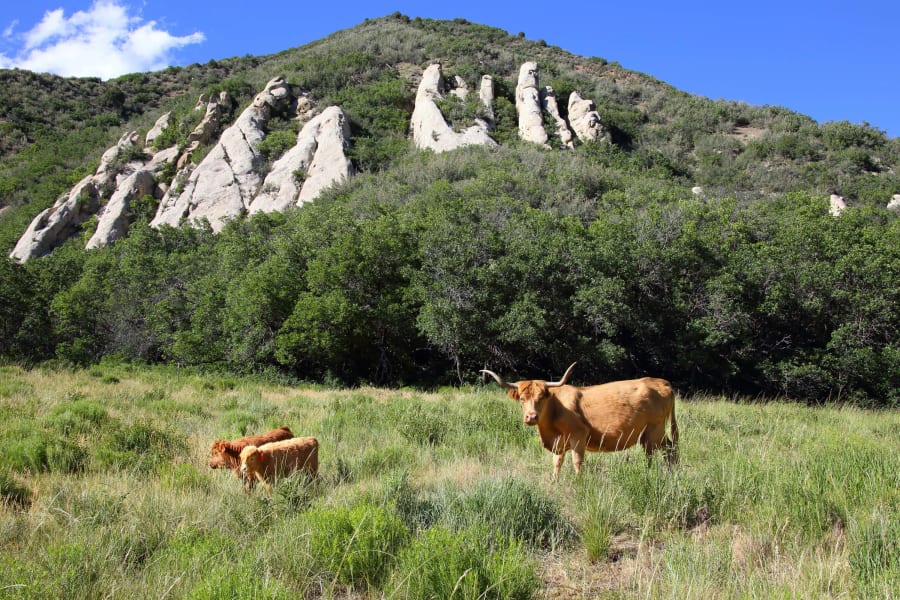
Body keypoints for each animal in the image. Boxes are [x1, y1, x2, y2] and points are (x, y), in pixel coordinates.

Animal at [482, 360, 680, 478]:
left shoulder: (578, 436)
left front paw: (579, 482)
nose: (531, 417)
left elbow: (577, 461)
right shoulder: (559, 442)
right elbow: (557, 462)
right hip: (650, 434)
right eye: (522, 399)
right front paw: (555, 481)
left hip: (654, 431)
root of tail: (661, 382)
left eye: (541, 397)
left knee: (663, 450)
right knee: (666, 449)